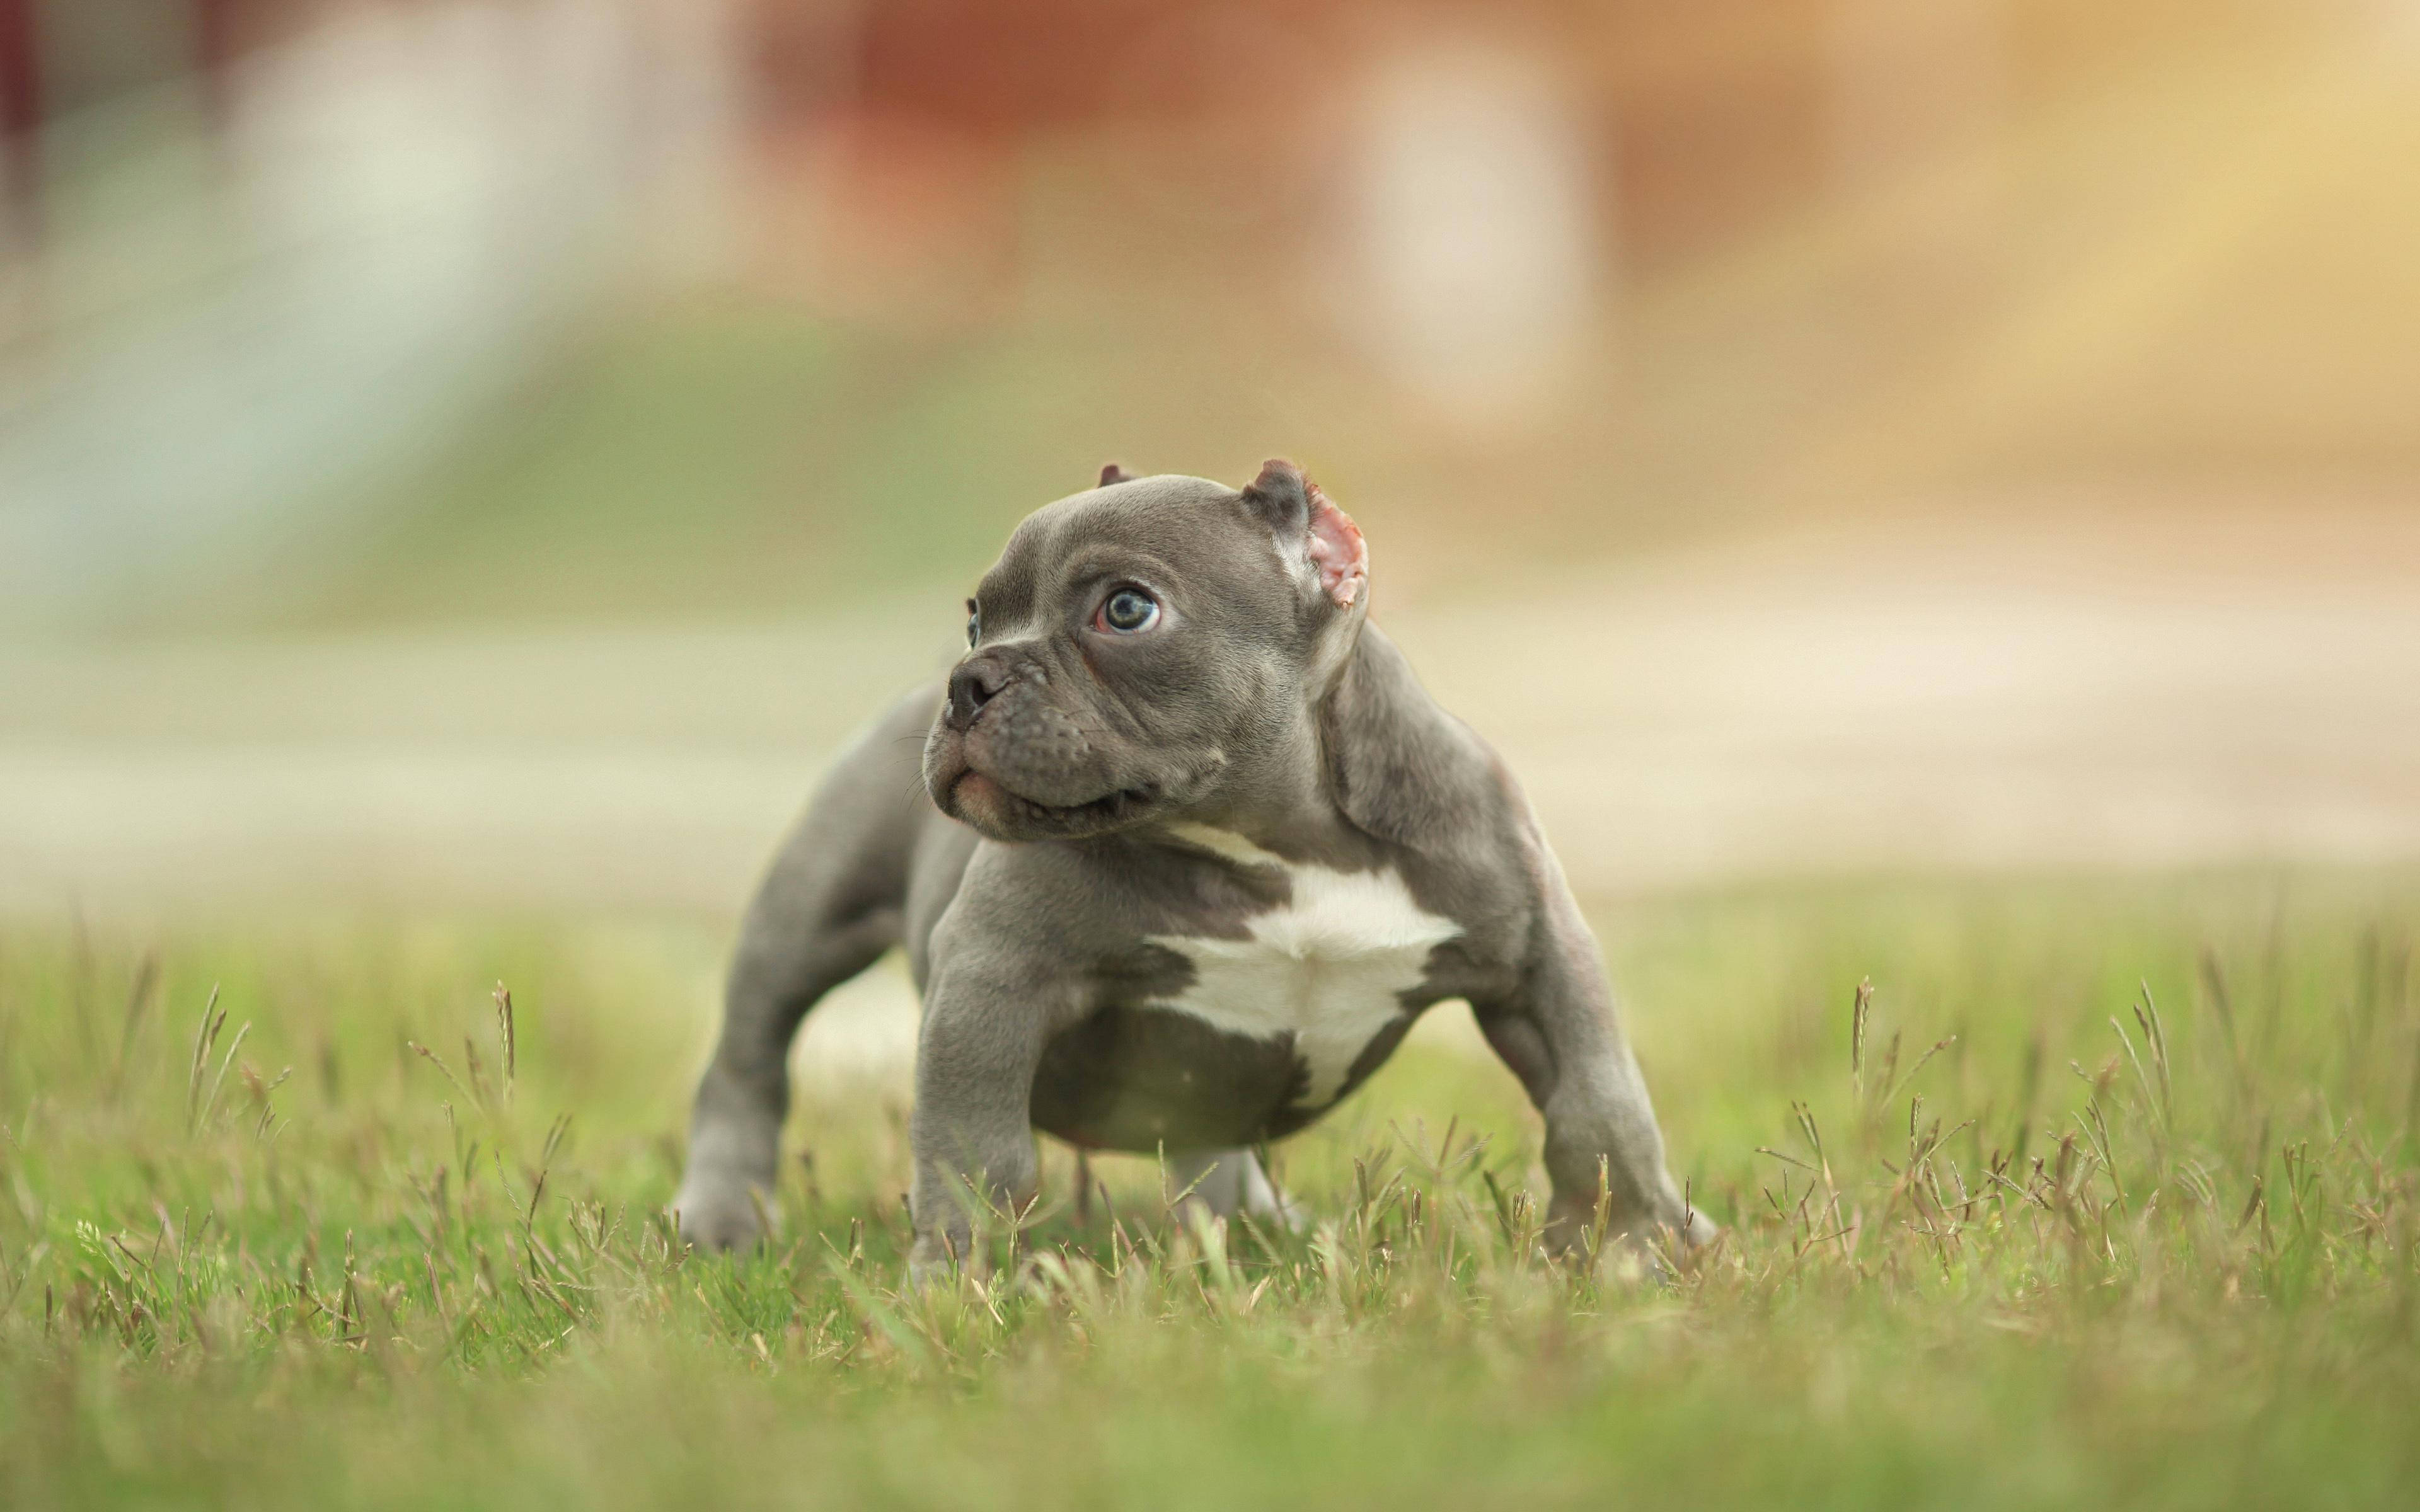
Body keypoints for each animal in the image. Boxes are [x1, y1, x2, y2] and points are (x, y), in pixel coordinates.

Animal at [672, 459, 1703, 1277]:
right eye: (975, 619)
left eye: (1126, 609)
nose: (970, 680)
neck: (1277, 843)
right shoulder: (991, 981)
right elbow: (981, 1159)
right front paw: (963, 1289)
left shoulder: (1538, 956)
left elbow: (1601, 1106)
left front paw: (1635, 1249)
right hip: (807, 917)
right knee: (748, 1063)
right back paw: (721, 1220)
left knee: (1212, 1145)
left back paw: (1264, 1228)